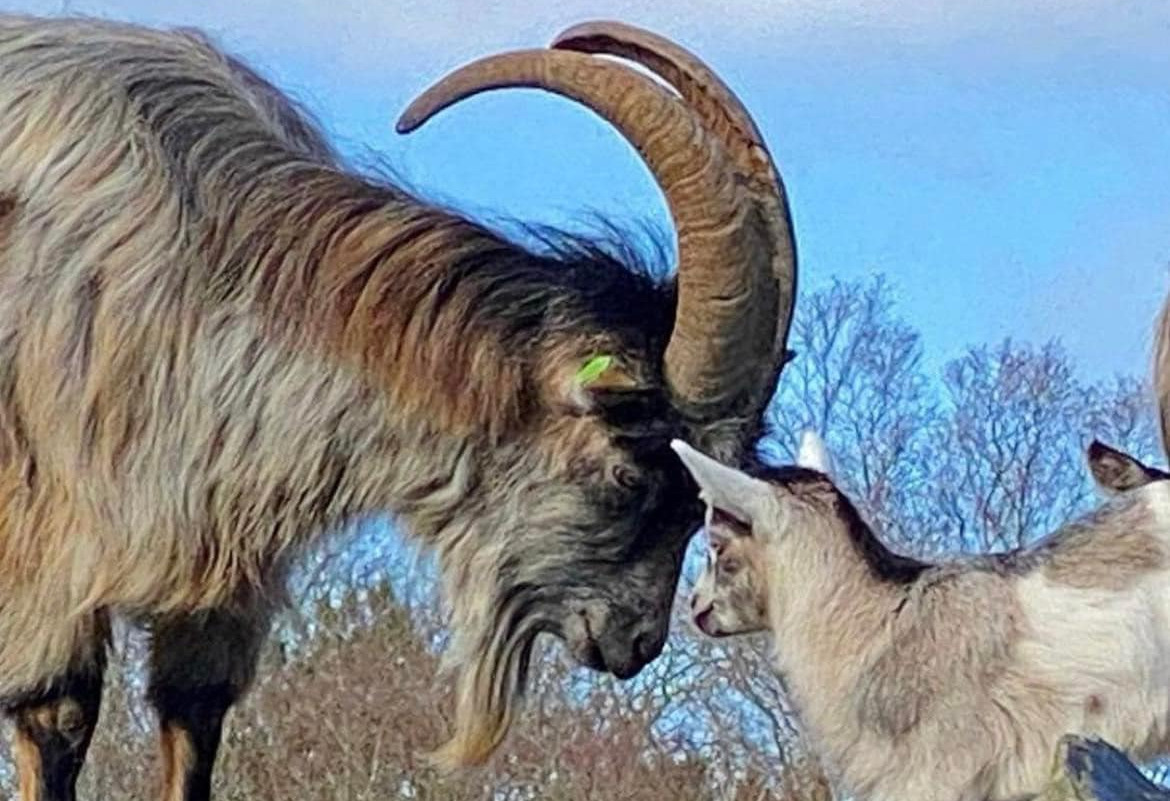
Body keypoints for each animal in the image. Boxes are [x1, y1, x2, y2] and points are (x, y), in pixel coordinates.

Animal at [0, 14, 795, 799]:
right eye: (629, 473)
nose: (635, 642)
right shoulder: (46, 553)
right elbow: (58, 716)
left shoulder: (219, 596)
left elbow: (193, 721)